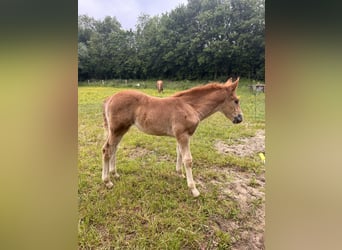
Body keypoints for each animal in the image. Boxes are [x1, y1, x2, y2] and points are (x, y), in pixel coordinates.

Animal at [101, 77, 243, 196]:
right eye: (236, 101)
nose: (240, 118)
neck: (190, 106)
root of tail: (109, 98)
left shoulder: (180, 136)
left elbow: (179, 153)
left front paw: (180, 174)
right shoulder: (183, 135)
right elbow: (188, 160)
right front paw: (194, 189)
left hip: (120, 130)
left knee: (114, 149)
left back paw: (115, 174)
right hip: (117, 129)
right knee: (107, 150)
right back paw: (107, 181)